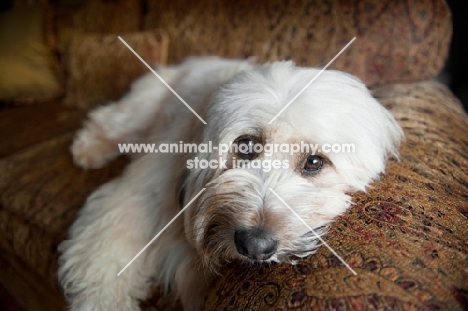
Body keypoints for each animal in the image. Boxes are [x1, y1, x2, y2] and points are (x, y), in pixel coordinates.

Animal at [57, 57, 402, 310]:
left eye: (314, 162)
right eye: (246, 145)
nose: (255, 245)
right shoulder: (133, 197)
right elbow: (104, 259)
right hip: (142, 108)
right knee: (110, 121)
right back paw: (88, 149)